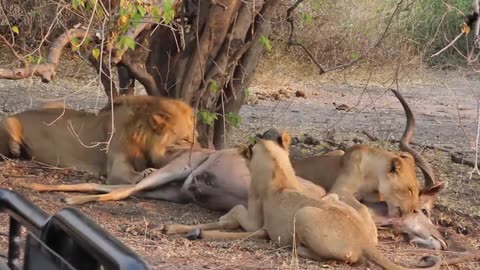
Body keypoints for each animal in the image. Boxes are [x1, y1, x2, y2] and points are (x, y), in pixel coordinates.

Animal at [0, 96, 198, 185]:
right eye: (185, 139)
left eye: (196, 137)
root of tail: (21, 112)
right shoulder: (116, 168)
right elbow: (132, 175)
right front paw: (146, 172)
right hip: (9, 121)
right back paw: (17, 150)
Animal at [163, 133, 440, 270]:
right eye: (423, 210)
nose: (440, 240)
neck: (279, 171)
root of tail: (362, 241)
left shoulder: (254, 220)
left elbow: (236, 214)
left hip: (304, 214)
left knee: (349, 259)